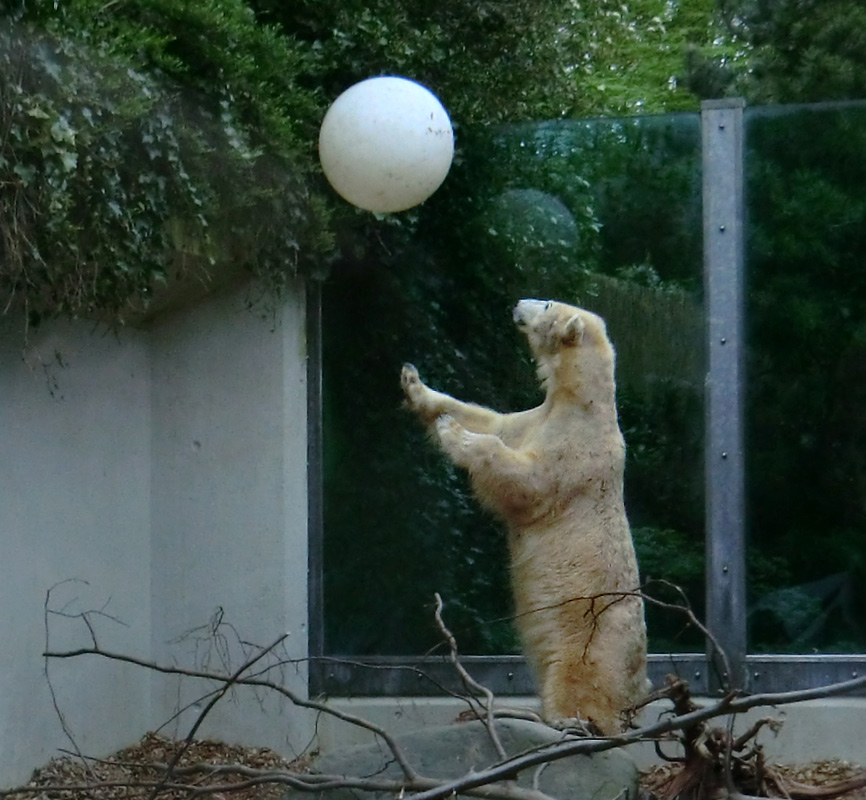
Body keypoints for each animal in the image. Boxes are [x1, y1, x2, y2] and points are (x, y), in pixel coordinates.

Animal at [402, 298, 644, 732]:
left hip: (594, 633)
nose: (518, 303)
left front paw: (454, 432)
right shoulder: (533, 420)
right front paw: (416, 385)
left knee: (579, 676)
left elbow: (526, 482)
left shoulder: (574, 452)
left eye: (547, 303)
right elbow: (493, 420)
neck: (579, 402)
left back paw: (570, 720)